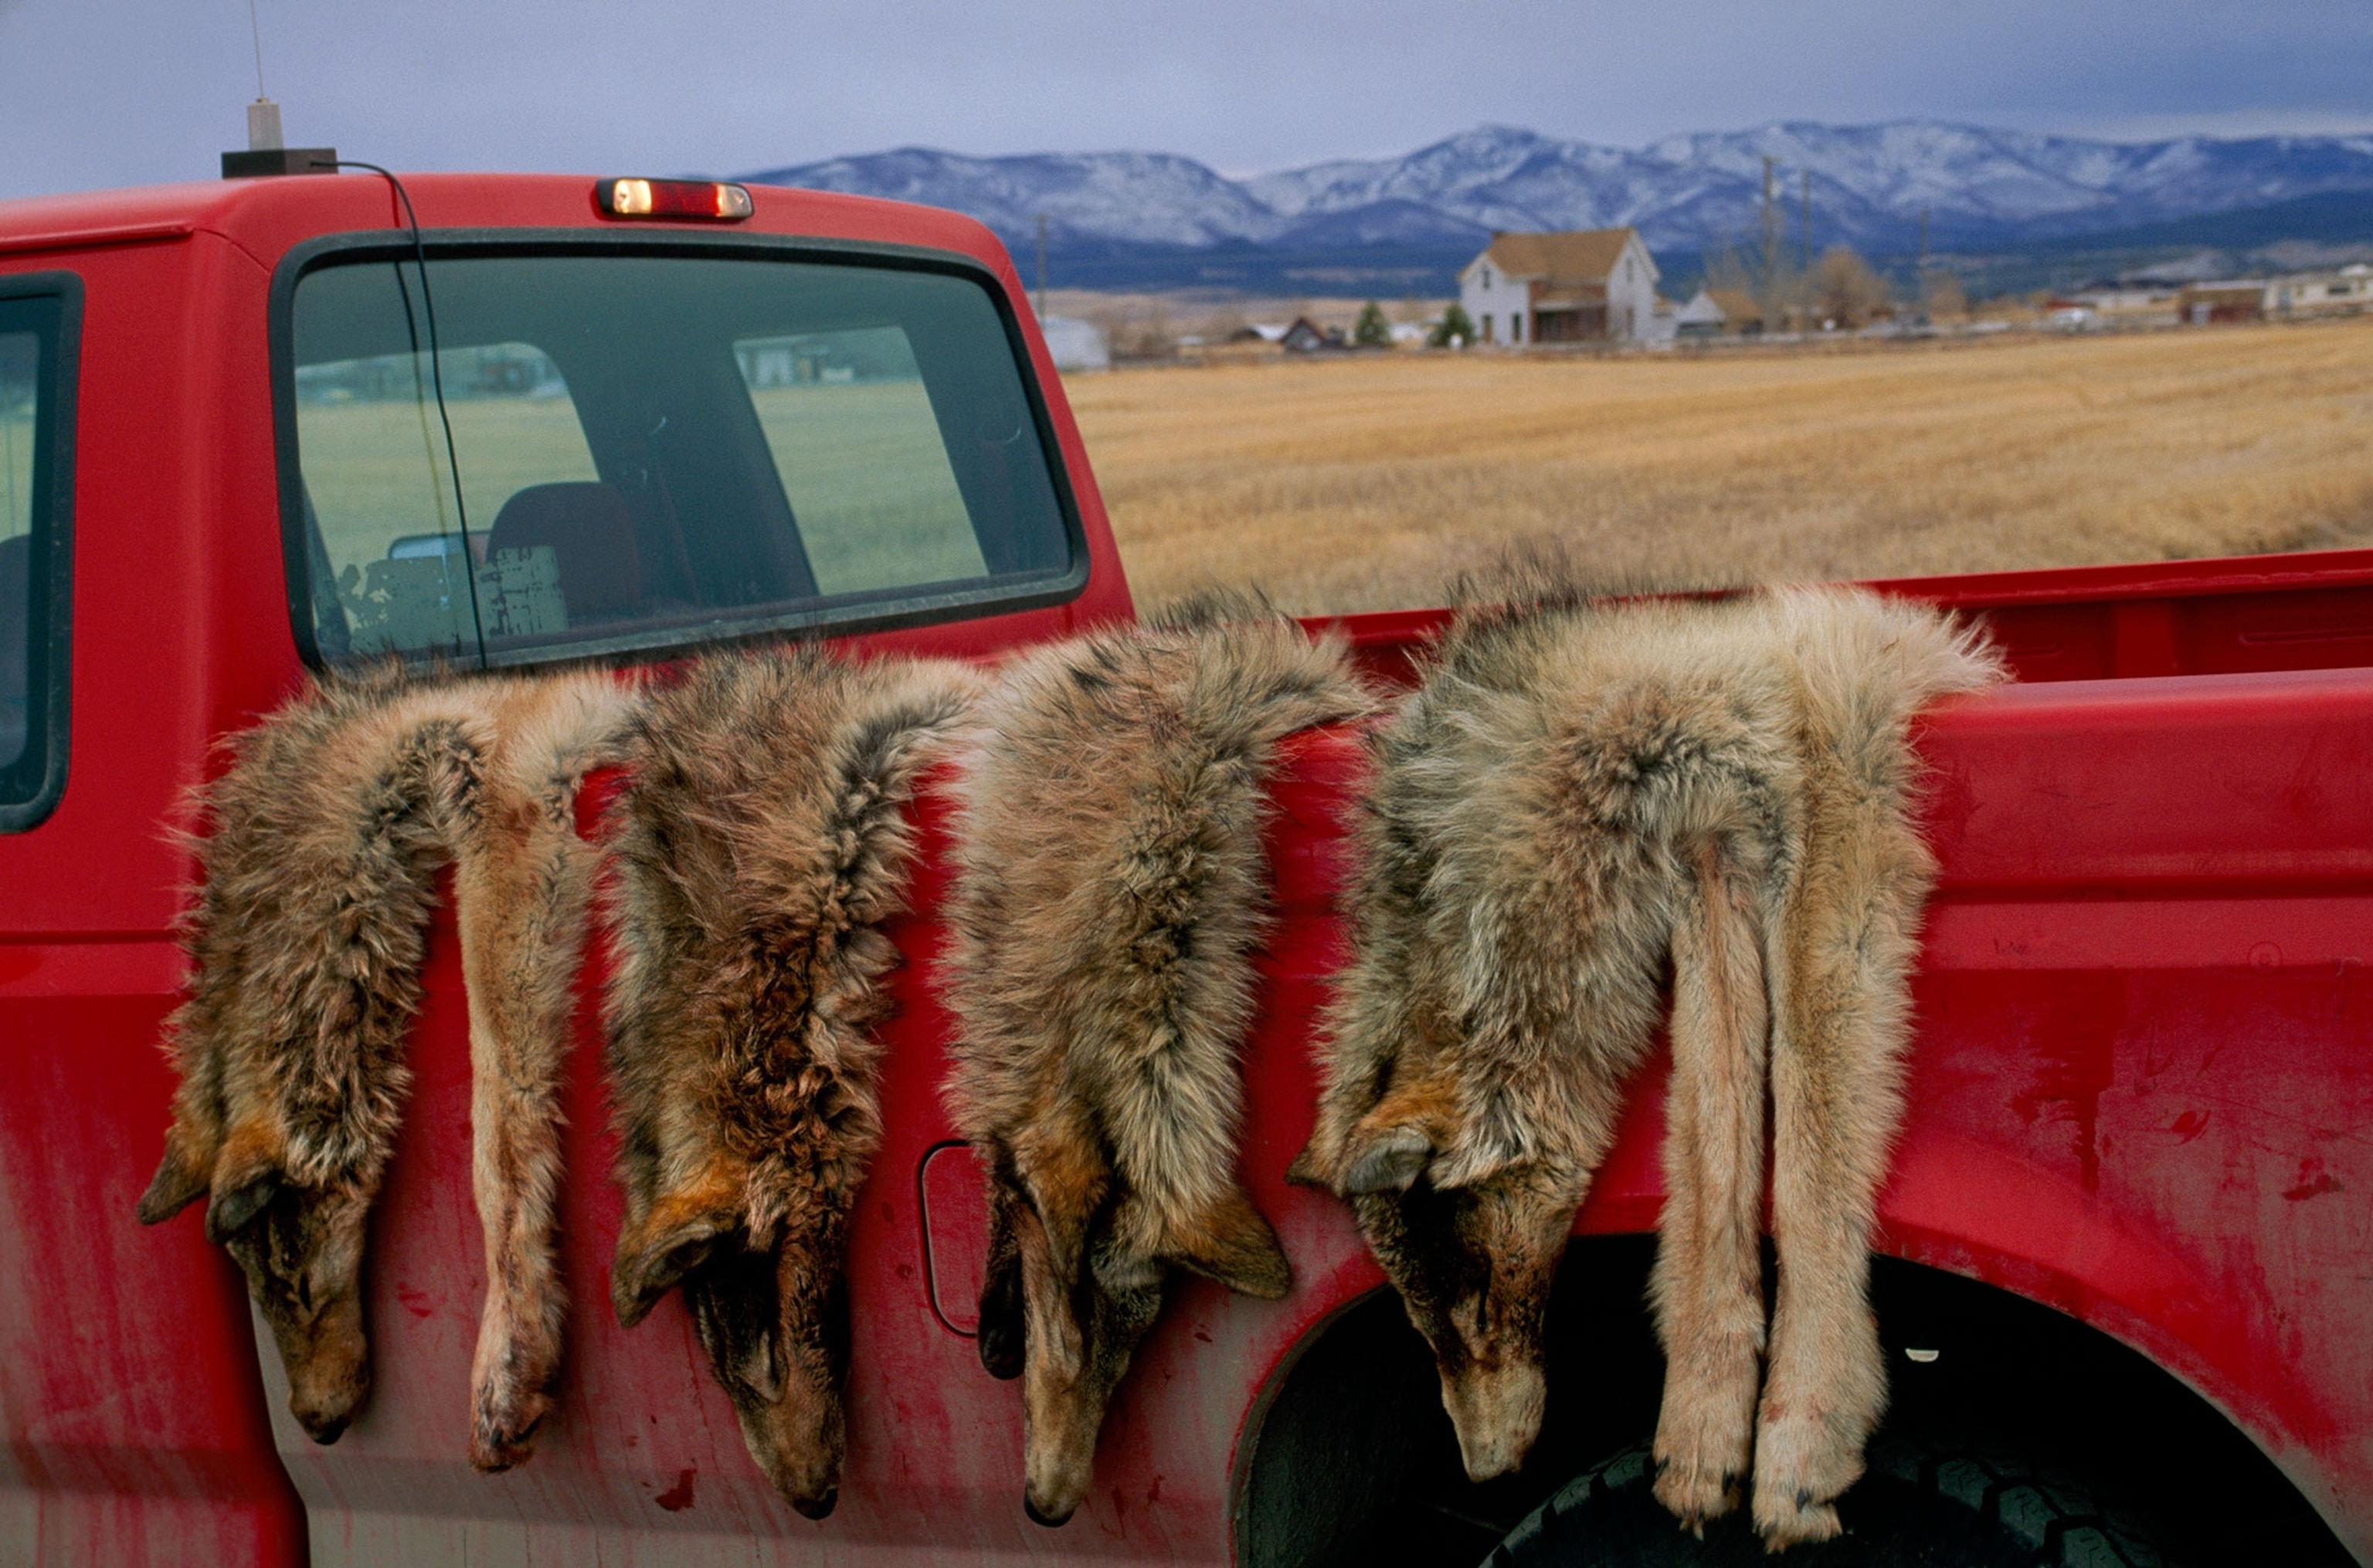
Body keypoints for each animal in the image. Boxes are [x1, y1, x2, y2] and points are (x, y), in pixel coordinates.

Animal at [136, 667, 635, 1471]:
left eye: (295, 1281)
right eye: (254, 1289)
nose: (316, 1429)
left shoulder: (505, 808)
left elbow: (495, 1130)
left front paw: (510, 1354)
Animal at [1289, 585, 2000, 1549]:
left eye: (1480, 1307)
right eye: (1419, 1324)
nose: (1483, 1472)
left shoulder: (1818, 816)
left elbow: (1805, 1174)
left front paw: (1802, 1441)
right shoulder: (1704, 856)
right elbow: (1710, 1163)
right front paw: (1702, 1436)